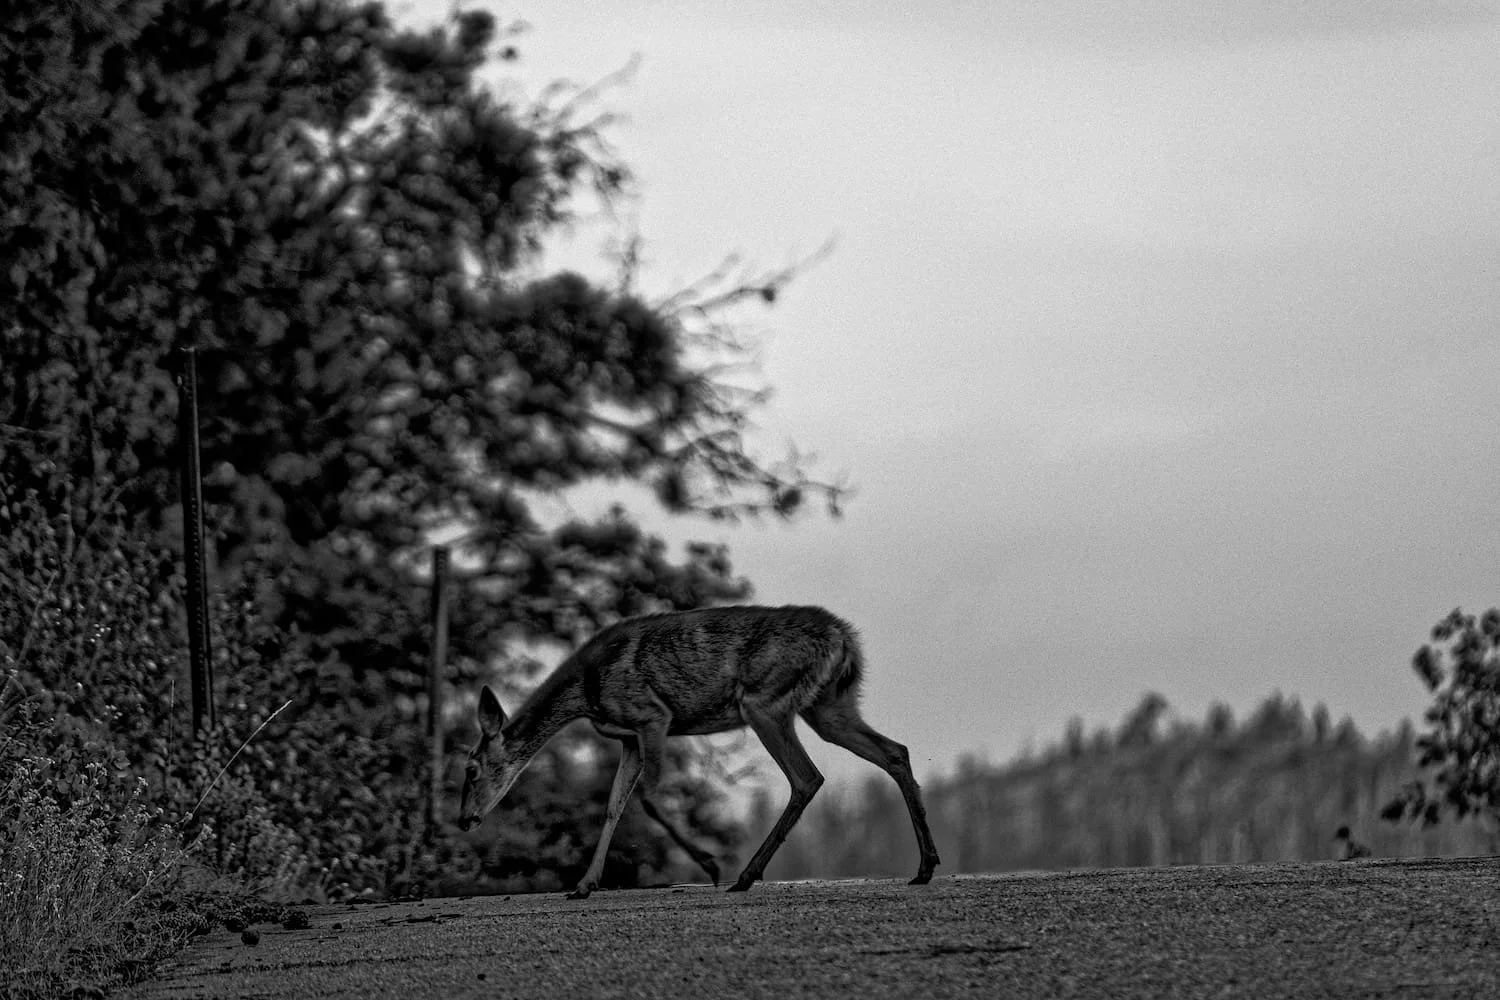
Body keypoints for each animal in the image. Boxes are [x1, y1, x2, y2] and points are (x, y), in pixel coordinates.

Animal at [456, 604, 941, 899]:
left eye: (472, 769)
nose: (465, 820)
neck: (585, 692)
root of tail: (846, 638)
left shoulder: (652, 715)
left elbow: (648, 797)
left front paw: (708, 864)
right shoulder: (629, 735)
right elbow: (614, 805)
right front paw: (584, 885)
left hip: (765, 700)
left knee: (807, 777)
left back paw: (743, 876)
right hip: (828, 705)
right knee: (895, 751)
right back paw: (924, 867)